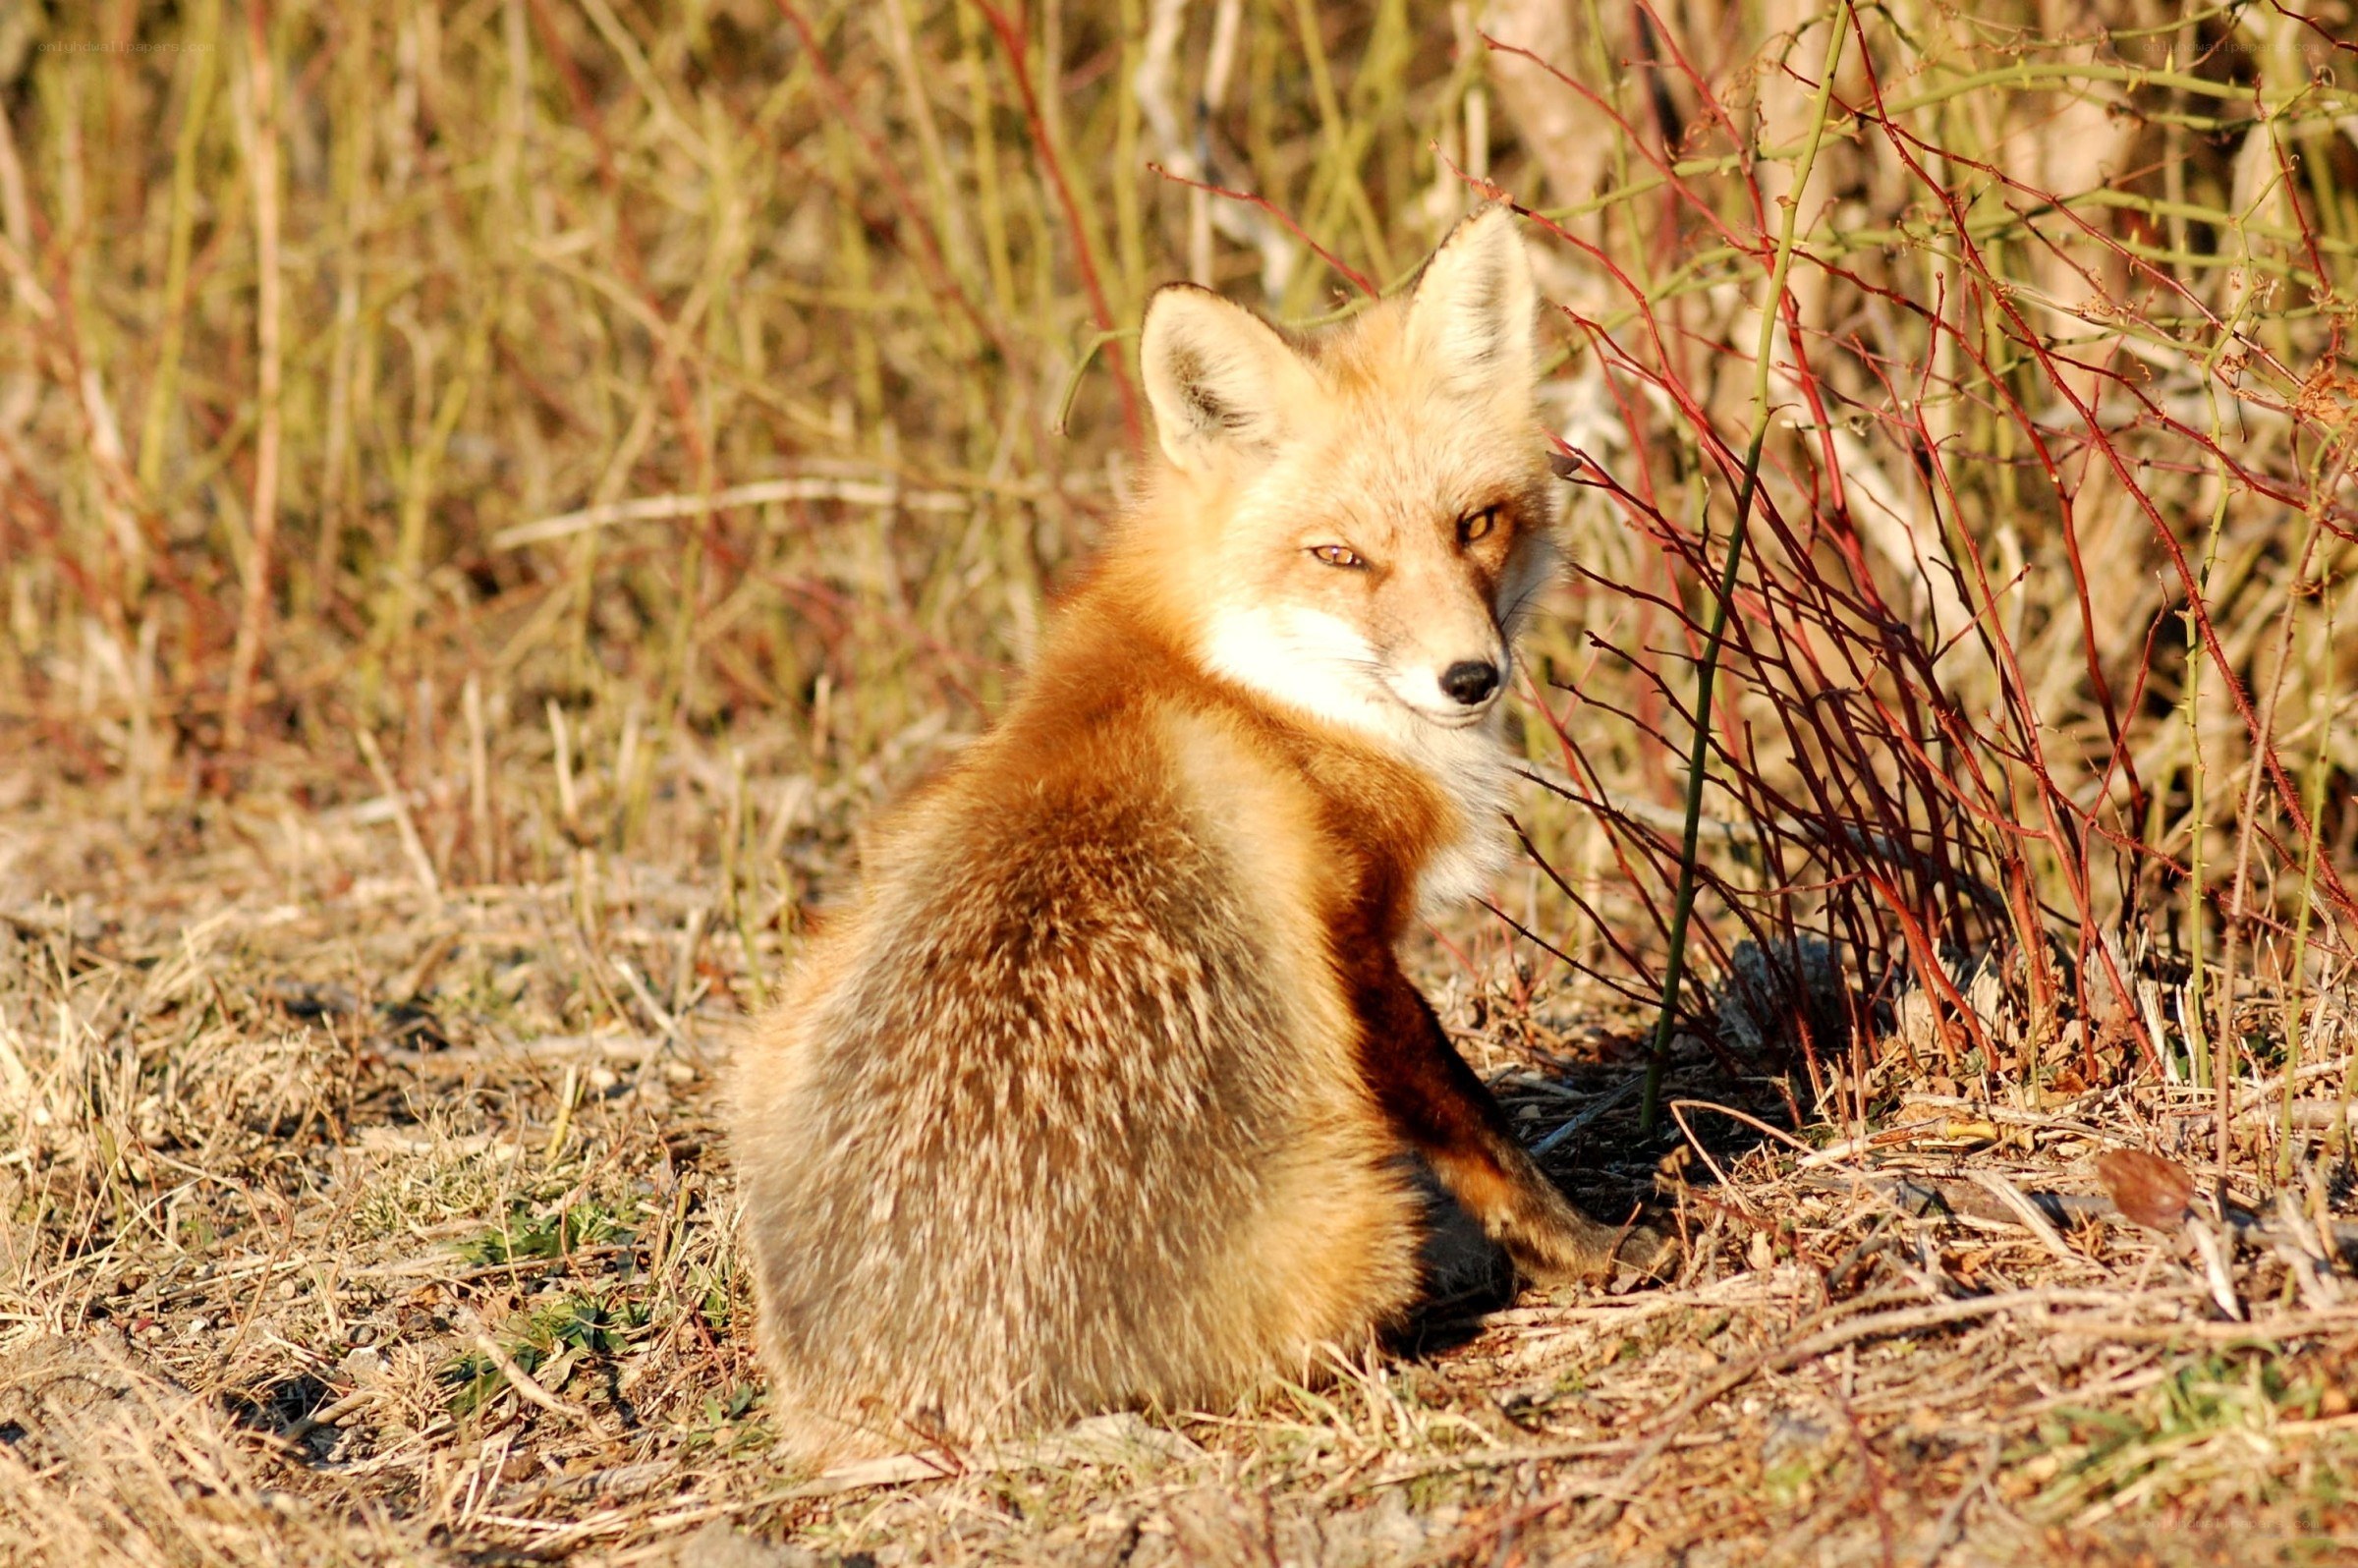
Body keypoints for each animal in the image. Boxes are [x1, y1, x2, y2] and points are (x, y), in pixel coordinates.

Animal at [729, 207, 1665, 1467]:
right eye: (1340, 556)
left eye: (1478, 523)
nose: (1470, 677)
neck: (1248, 680)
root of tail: (936, 1407)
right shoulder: (1355, 955)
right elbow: (1480, 1125)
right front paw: (1586, 1249)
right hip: (1354, 1217)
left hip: (773, 1031)